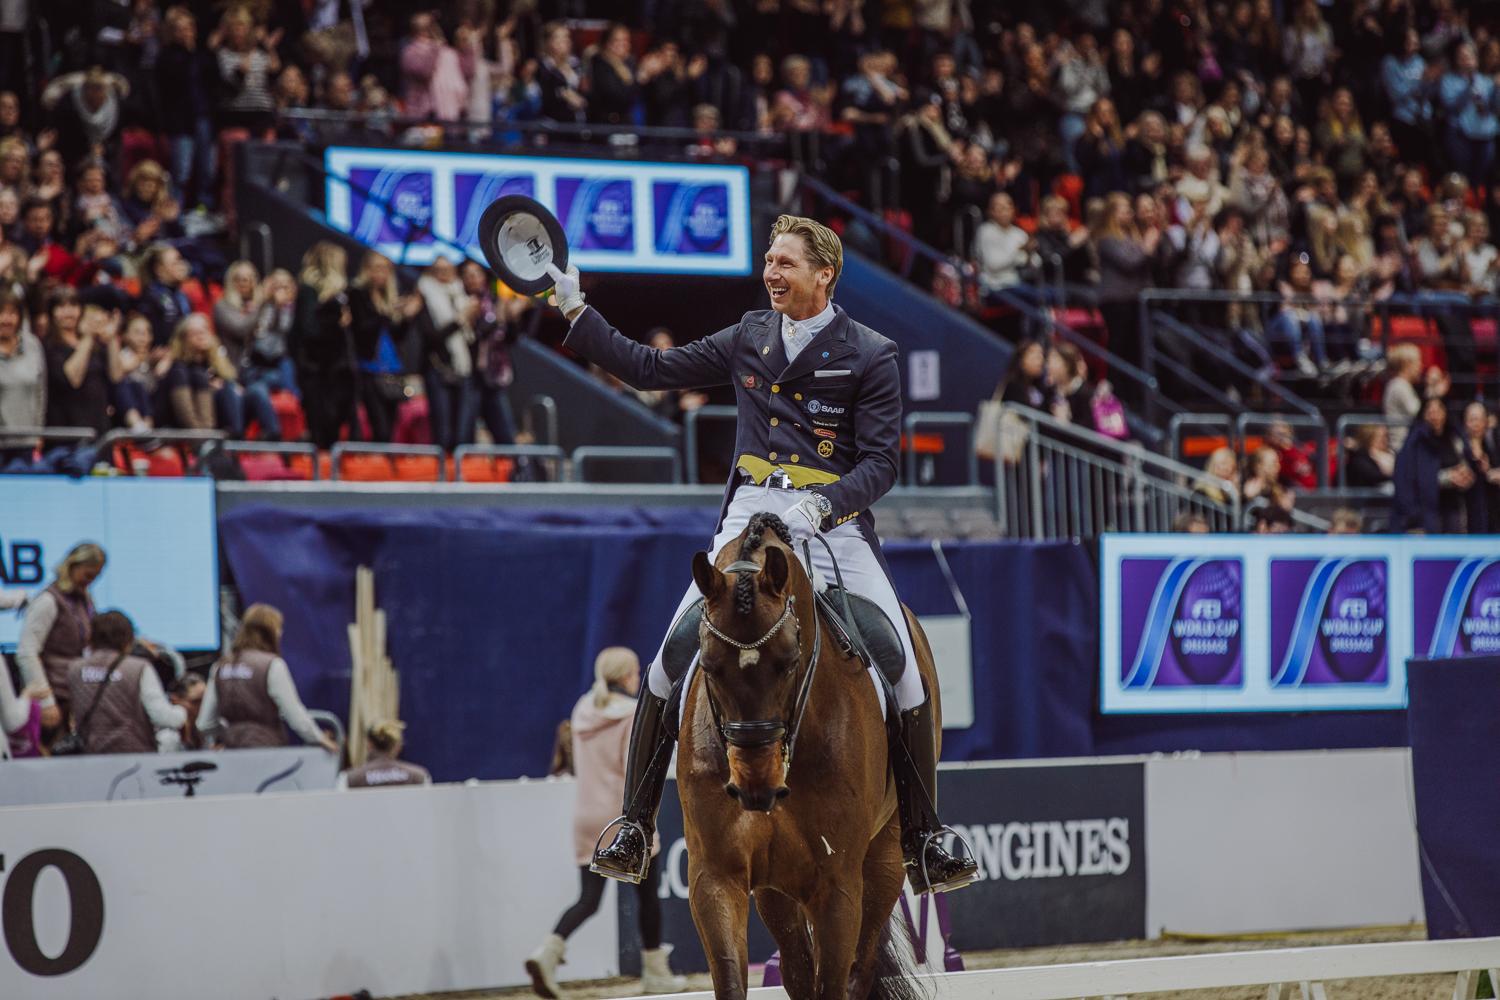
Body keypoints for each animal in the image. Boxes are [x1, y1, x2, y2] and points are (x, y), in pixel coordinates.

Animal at [681, 515, 936, 1000]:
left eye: (788, 661)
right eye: (708, 664)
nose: (755, 785)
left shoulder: (838, 887)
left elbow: (837, 980)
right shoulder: (717, 876)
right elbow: (733, 978)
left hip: (884, 859)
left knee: (861, 966)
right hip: (776, 886)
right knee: (798, 969)